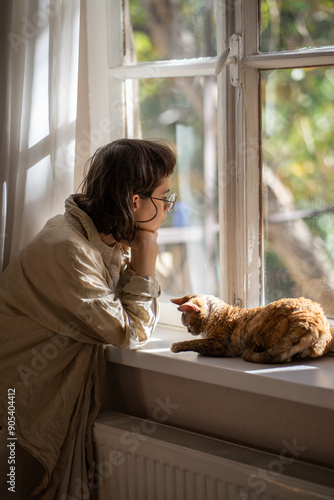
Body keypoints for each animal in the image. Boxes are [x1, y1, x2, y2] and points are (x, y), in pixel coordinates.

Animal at [171, 292, 332, 364]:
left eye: (187, 324)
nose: (189, 331)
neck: (215, 314)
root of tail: (311, 318)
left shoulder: (221, 345)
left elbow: (195, 343)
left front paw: (176, 346)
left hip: (258, 327)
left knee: (282, 358)